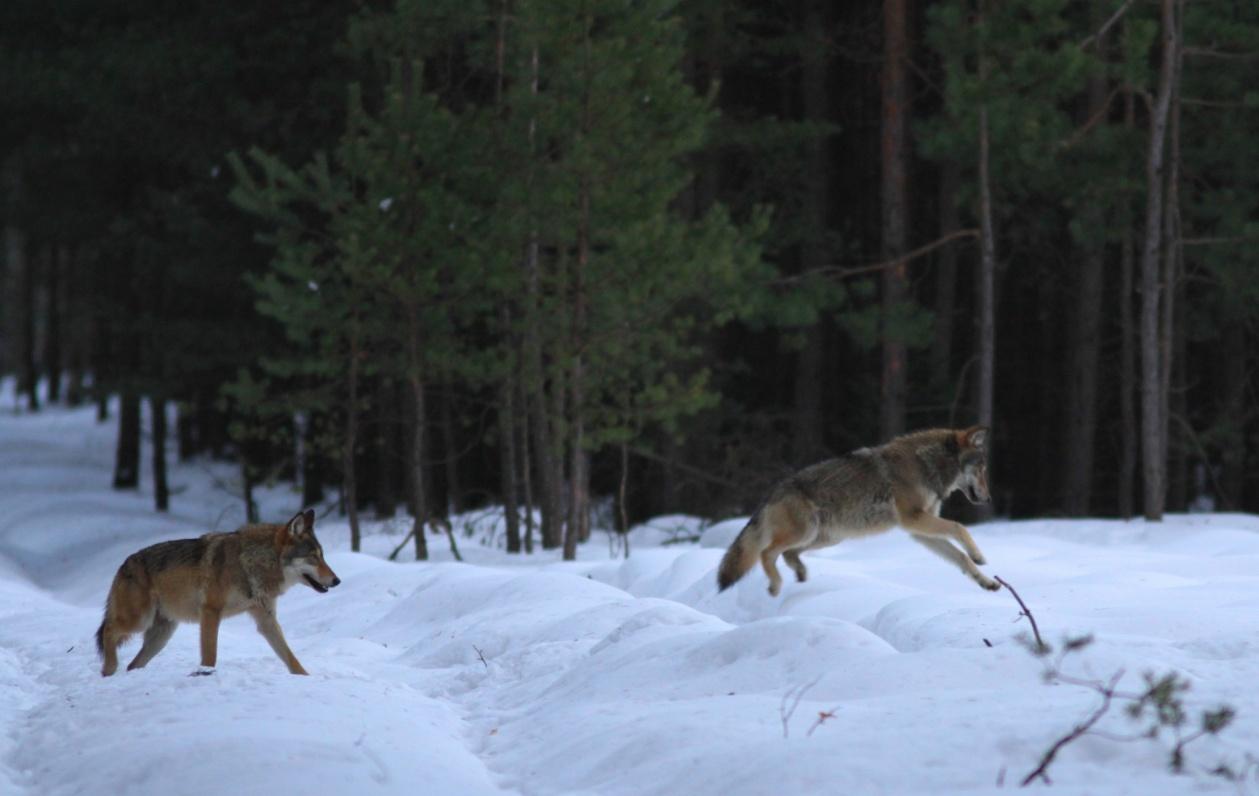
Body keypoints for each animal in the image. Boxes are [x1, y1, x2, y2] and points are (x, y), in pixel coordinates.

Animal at [95, 506, 339, 675]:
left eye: (322, 556)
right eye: (313, 557)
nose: (337, 580)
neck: (253, 563)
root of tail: (123, 565)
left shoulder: (266, 619)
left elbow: (291, 657)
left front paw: (306, 678)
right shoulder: (211, 612)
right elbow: (210, 655)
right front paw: (205, 674)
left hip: (160, 636)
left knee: (132, 664)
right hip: (139, 621)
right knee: (109, 630)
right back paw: (109, 668)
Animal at [720, 425, 992, 594]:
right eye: (981, 469)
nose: (989, 499)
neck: (927, 464)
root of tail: (773, 492)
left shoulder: (918, 530)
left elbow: (961, 557)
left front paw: (987, 582)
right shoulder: (913, 519)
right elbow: (959, 527)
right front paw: (979, 555)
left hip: (826, 538)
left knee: (786, 554)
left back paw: (800, 574)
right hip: (807, 533)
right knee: (766, 553)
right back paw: (776, 586)